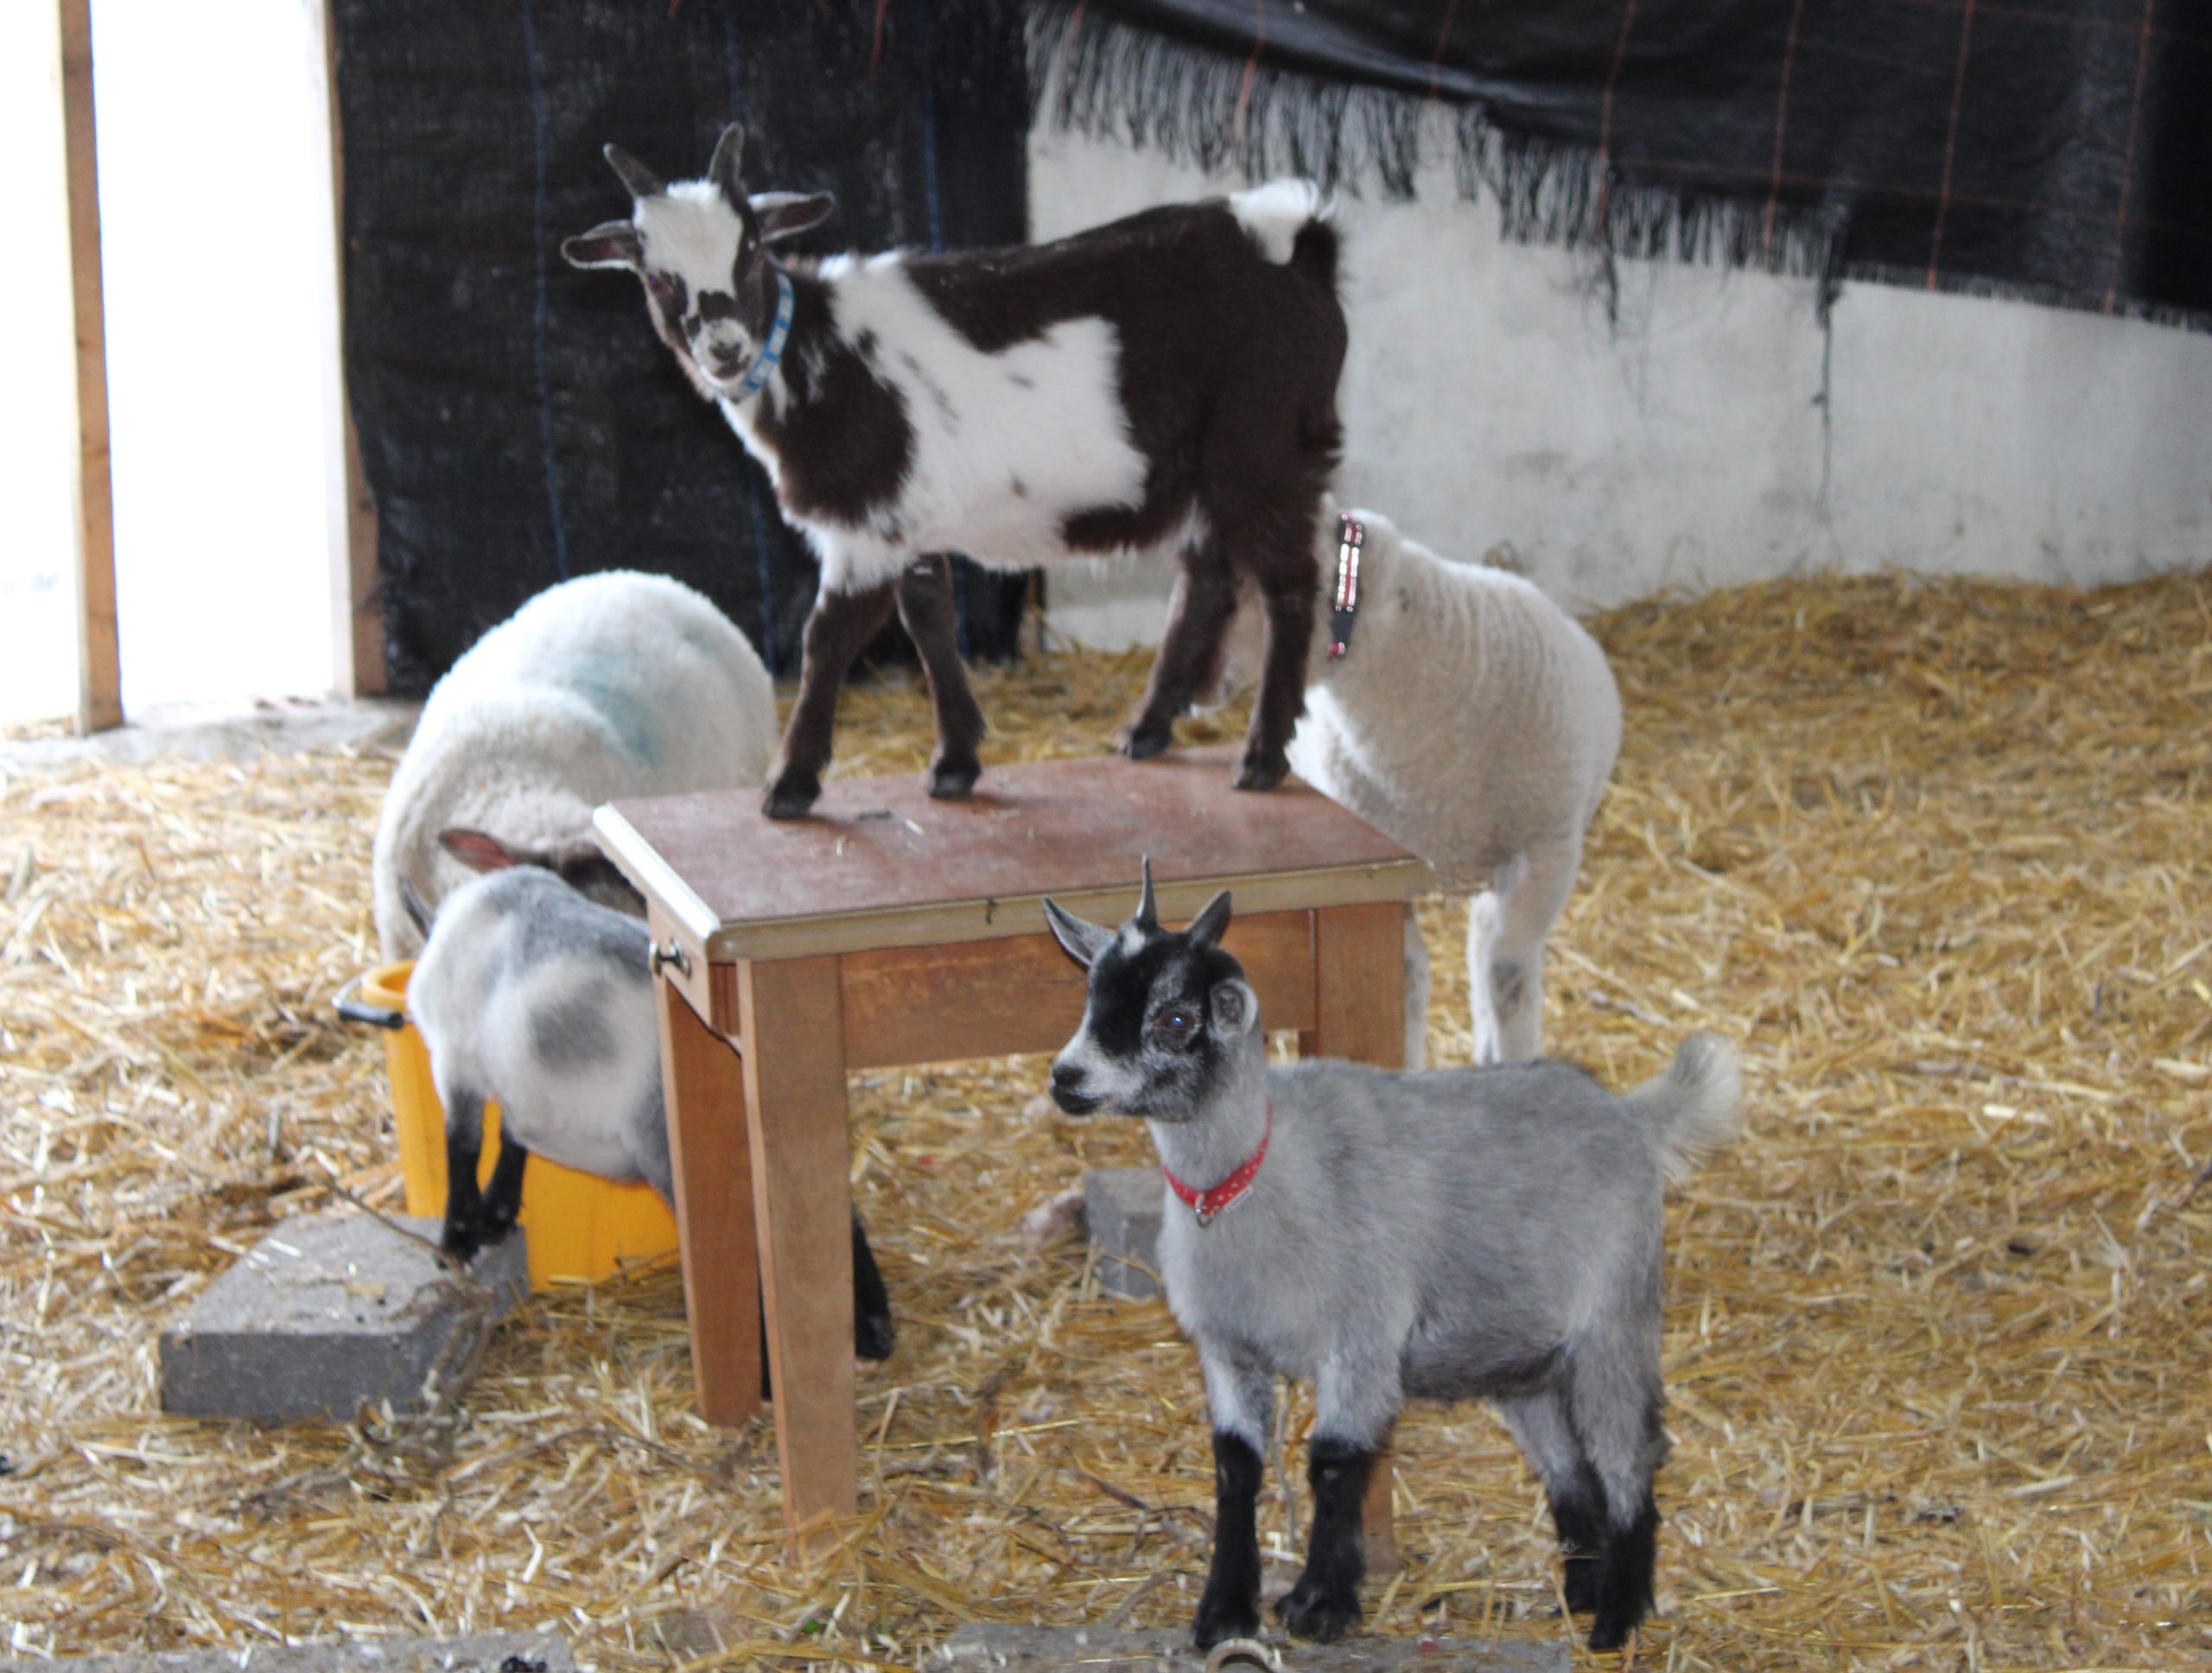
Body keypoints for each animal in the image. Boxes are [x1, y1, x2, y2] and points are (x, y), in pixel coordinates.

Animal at [403, 866, 894, 1362]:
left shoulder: (453, 1059)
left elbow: (462, 1146)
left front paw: (455, 1242)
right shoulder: (510, 1085)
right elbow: (509, 1137)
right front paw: (495, 1217)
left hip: (669, 1150)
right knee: (829, 1215)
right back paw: (873, 1331)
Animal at [563, 124, 1347, 818]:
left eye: (752, 249)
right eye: (655, 274)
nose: (725, 347)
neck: (817, 354)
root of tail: (1297, 243)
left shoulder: (867, 523)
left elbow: (829, 638)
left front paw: (791, 784)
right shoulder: (907, 519)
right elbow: (930, 618)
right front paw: (956, 762)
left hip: (1265, 452)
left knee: (1288, 587)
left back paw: (1262, 756)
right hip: (1211, 474)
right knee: (1207, 581)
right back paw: (1146, 729)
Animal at [1042, 868, 1741, 1654]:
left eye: (1174, 1020)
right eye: (1093, 997)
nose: (1067, 1079)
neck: (1259, 1172)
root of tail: (1631, 1115)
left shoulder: (1363, 1341)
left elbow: (1335, 1464)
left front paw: (1321, 1605)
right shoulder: (1228, 1347)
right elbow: (1236, 1468)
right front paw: (1225, 1612)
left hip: (1615, 1322)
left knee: (1630, 1456)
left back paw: (1616, 1620)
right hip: (1524, 1360)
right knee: (1569, 1468)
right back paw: (1583, 1592)